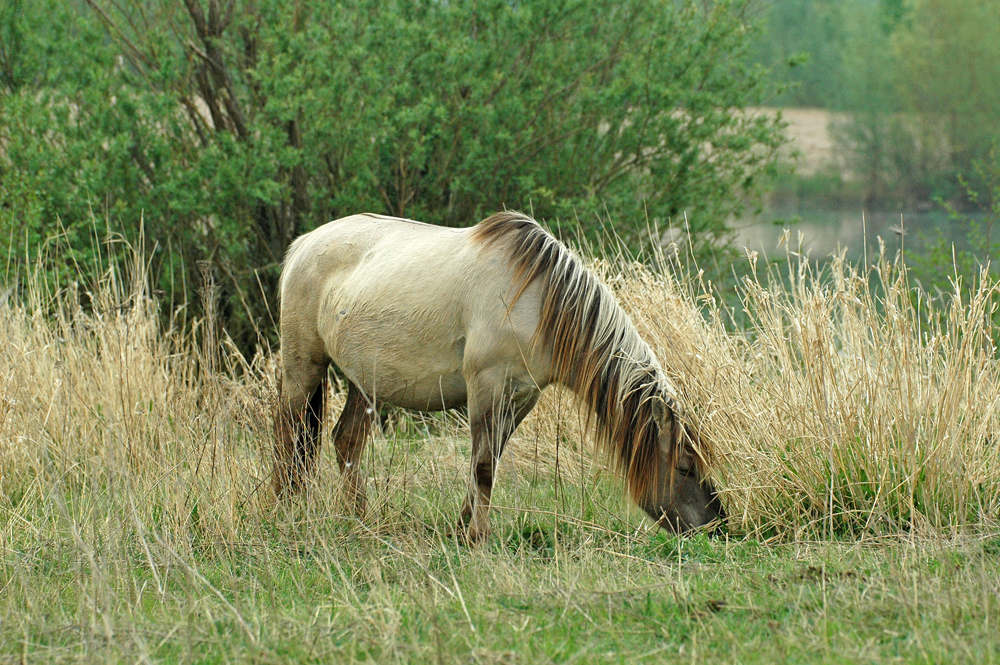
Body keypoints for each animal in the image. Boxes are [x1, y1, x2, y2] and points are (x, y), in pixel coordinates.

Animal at [274, 211, 728, 540]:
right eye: (685, 467)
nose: (717, 526)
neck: (537, 302)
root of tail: (302, 246)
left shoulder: (522, 396)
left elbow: (489, 459)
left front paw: (462, 529)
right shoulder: (486, 387)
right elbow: (482, 467)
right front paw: (477, 537)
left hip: (364, 383)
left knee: (346, 441)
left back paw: (361, 520)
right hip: (303, 368)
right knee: (288, 436)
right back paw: (283, 511)